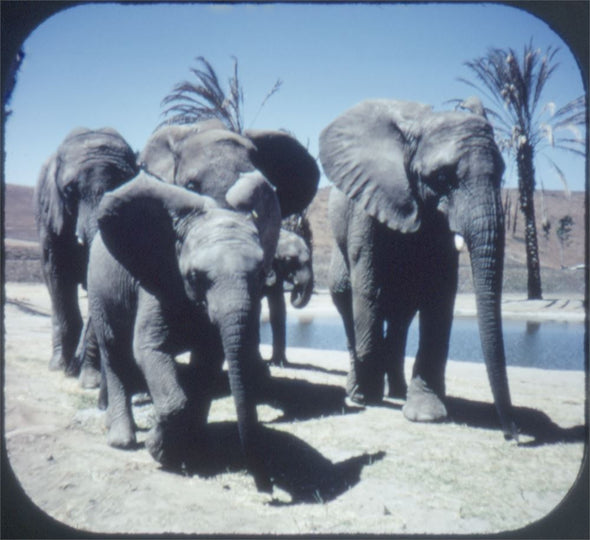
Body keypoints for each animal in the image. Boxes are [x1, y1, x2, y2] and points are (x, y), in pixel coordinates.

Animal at [34, 127, 140, 382]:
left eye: (123, 185)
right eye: (70, 191)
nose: (73, 368)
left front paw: (91, 379)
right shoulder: (50, 214)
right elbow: (56, 273)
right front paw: (61, 368)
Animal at [86, 171, 284, 492]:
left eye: (261, 274)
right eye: (194, 277)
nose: (267, 488)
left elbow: (208, 361)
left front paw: (192, 451)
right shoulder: (156, 281)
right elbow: (149, 349)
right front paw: (159, 450)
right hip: (98, 289)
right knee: (114, 350)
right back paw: (121, 440)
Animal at [322, 99, 520, 440]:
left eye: (501, 173)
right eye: (441, 178)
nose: (513, 433)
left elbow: (440, 297)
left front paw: (425, 414)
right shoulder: (367, 202)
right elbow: (368, 288)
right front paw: (369, 394)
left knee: (401, 316)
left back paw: (397, 392)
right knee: (349, 303)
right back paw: (360, 392)